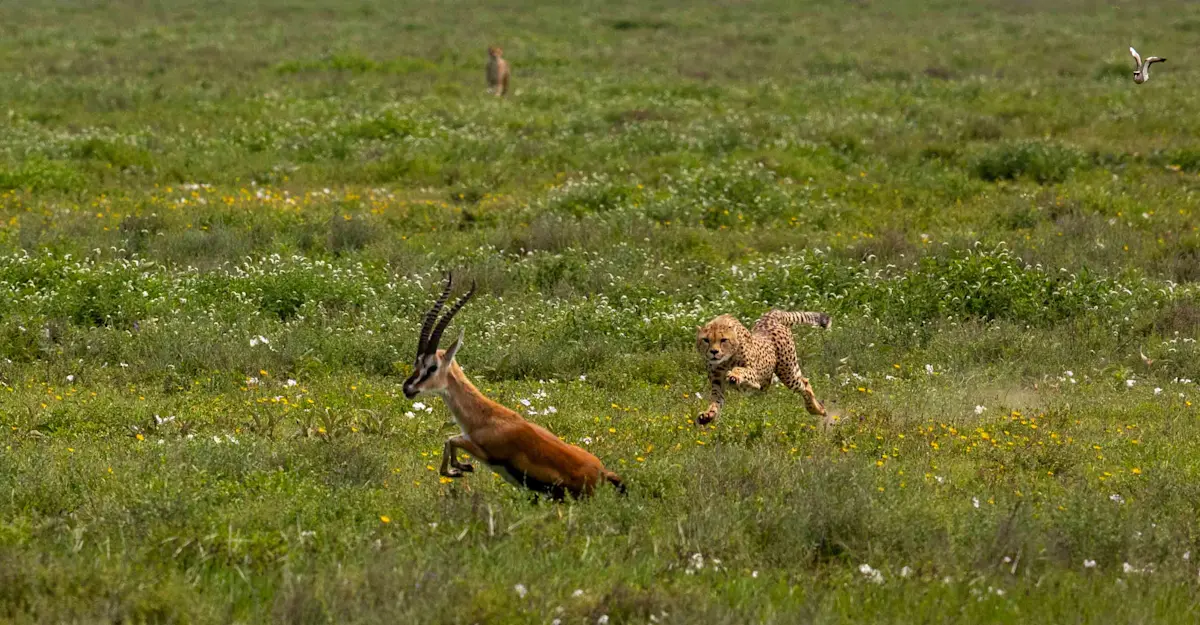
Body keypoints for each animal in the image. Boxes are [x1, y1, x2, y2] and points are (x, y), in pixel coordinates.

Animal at [402, 274, 625, 499]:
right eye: (416, 362)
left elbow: (450, 439)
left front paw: (459, 468)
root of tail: (602, 472)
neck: (485, 416)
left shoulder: (485, 451)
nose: (407, 388)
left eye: (432, 367)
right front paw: (459, 468)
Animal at [695, 309, 831, 425]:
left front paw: (734, 375)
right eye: (706, 340)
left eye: (723, 340)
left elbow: (742, 370)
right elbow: (716, 401)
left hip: (787, 373)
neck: (725, 361)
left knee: (805, 385)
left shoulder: (757, 379)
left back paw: (817, 410)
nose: (714, 352)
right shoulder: (717, 383)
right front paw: (708, 415)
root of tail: (770, 318)